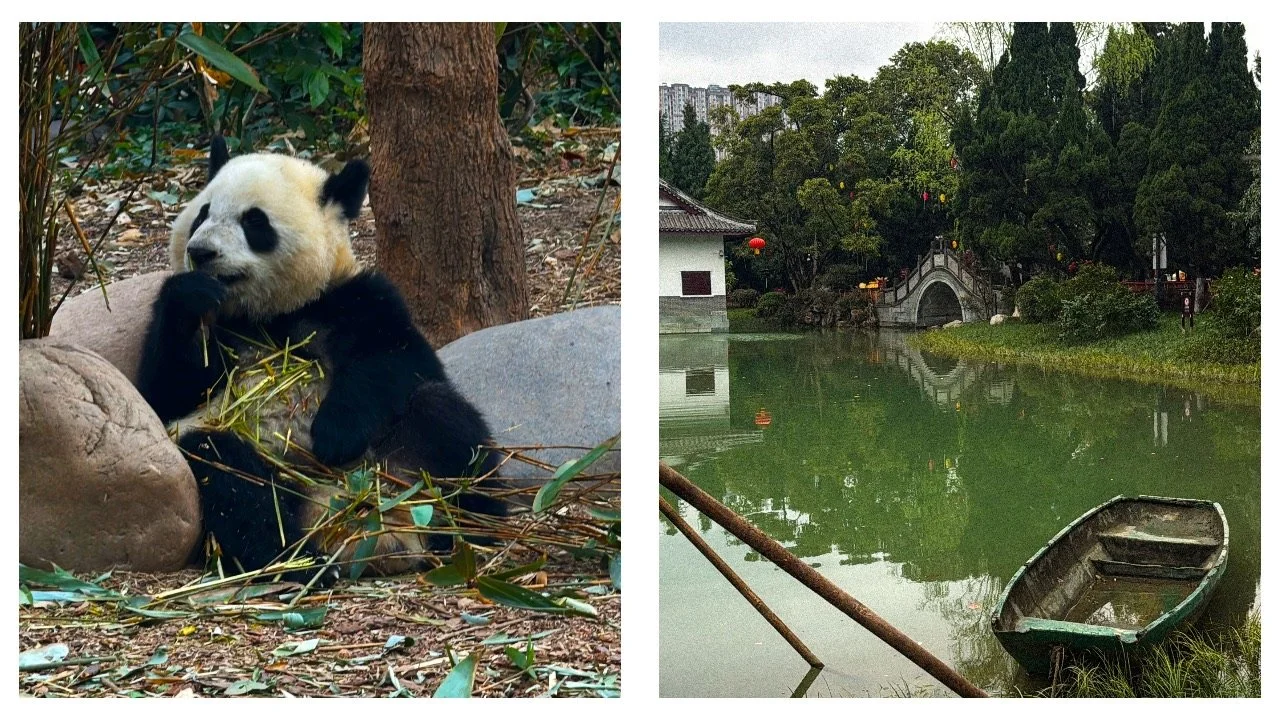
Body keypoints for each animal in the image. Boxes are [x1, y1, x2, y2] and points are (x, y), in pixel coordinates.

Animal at [136, 137, 507, 583]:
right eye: (202, 214)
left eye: (254, 222)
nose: (201, 252)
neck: (267, 316)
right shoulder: (218, 338)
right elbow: (165, 393)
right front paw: (191, 293)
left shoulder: (354, 299)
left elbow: (395, 360)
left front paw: (333, 434)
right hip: (268, 468)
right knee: (228, 473)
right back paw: (291, 560)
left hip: (402, 461)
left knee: (440, 416)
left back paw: (475, 526)